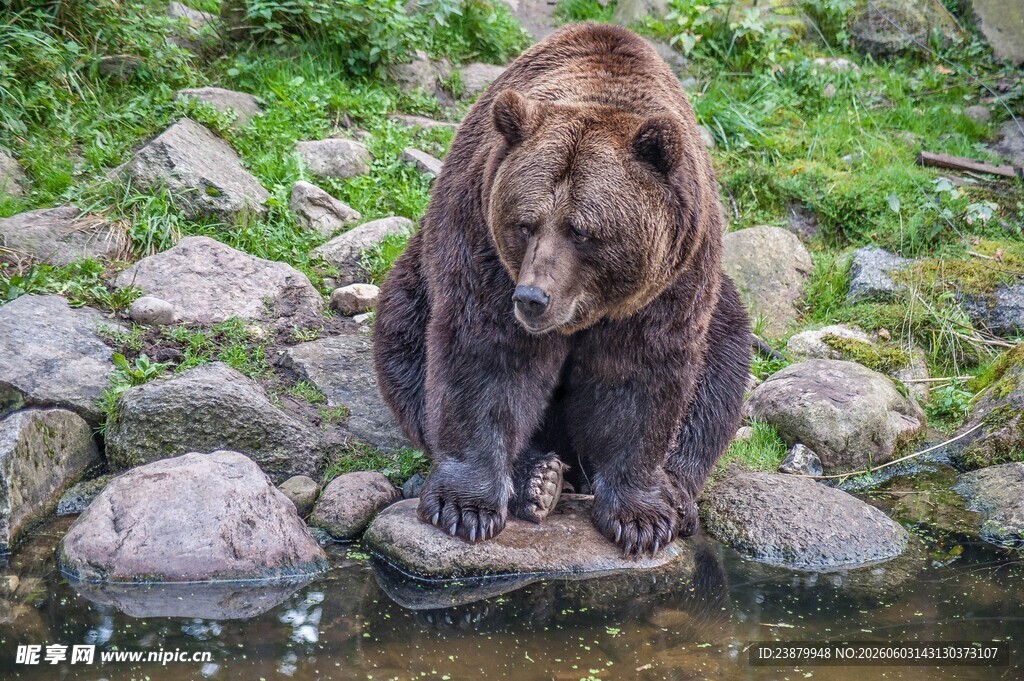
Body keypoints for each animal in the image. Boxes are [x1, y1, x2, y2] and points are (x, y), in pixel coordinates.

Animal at [373, 23, 751, 557]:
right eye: (525, 224)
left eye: (583, 231)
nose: (533, 298)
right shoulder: (482, 245)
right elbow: (487, 357)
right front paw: (465, 507)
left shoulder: (670, 283)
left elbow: (640, 375)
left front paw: (640, 518)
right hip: (416, 276)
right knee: (402, 336)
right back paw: (540, 479)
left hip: (718, 302)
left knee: (722, 366)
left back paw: (675, 494)